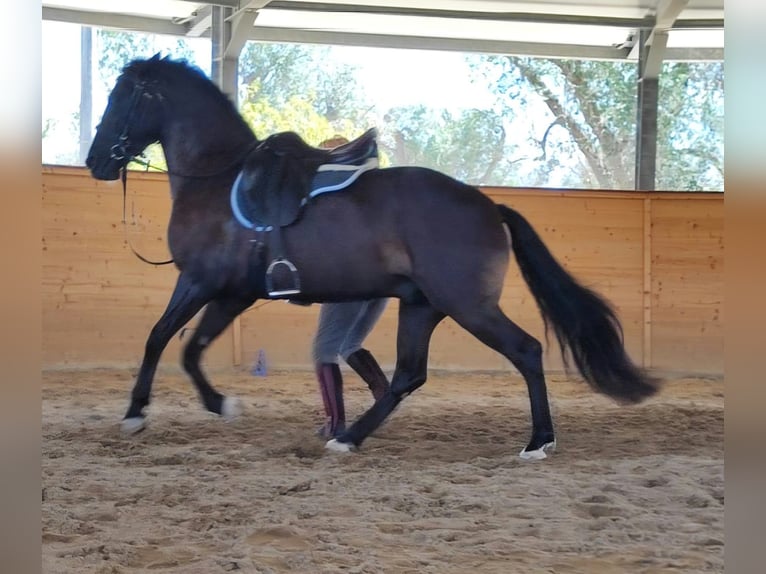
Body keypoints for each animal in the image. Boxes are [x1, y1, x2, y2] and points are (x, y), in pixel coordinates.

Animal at [86, 55, 659, 460]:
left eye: (119, 98)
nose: (95, 162)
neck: (219, 178)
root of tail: (486, 204)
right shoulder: (230, 295)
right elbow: (189, 347)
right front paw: (213, 403)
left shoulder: (203, 284)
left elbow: (163, 339)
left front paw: (141, 412)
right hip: (422, 306)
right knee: (407, 374)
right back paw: (350, 437)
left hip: (467, 305)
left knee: (526, 351)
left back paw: (538, 441)